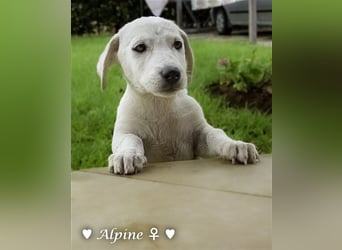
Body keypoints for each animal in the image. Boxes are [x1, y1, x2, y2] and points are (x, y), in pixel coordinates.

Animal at [97, 16, 258, 175]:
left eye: (178, 44)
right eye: (140, 47)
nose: (172, 73)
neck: (160, 104)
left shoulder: (199, 135)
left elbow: (215, 133)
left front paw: (235, 144)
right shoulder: (124, 131)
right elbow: (131, 139)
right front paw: (126, 155)